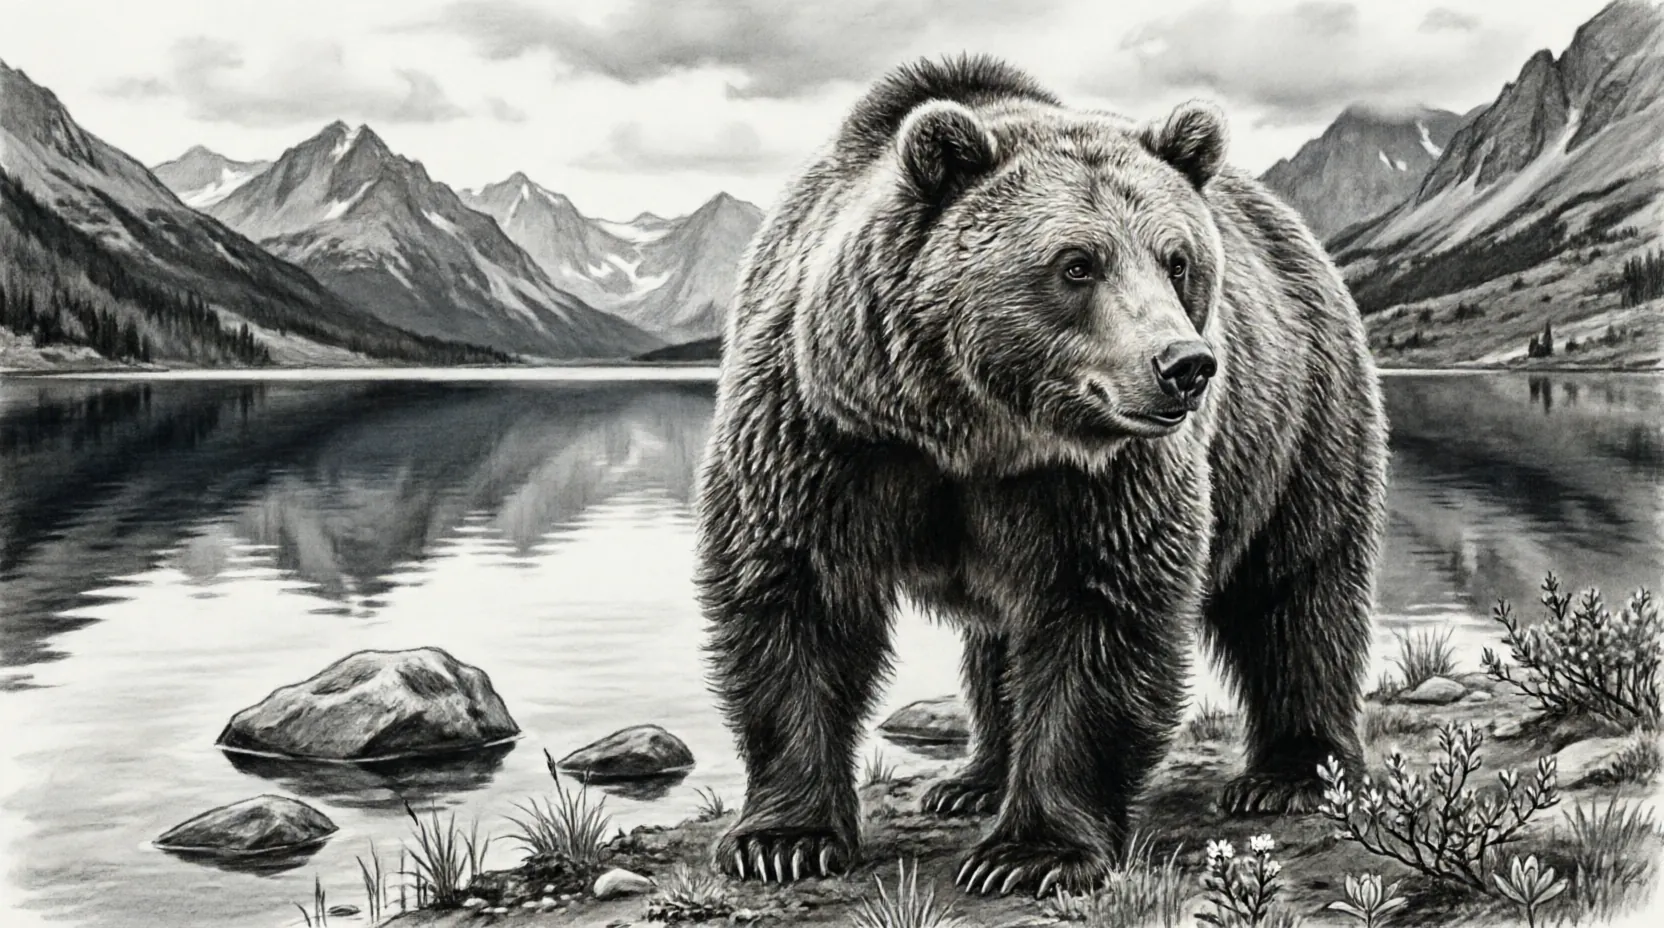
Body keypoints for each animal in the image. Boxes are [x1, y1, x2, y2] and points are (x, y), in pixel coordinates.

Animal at [694, 54, 1388, 898]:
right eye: (1077, 263)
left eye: (1176, 259)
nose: (1185, 366)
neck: (975, 430)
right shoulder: (824, 435)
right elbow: (794, 599)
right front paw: (783, 838)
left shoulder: (1105, 477)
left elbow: (1099, 617)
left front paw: (1030, 852)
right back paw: (974, 779)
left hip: (1299, 413)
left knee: (1296, 586)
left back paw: (1290, 773)